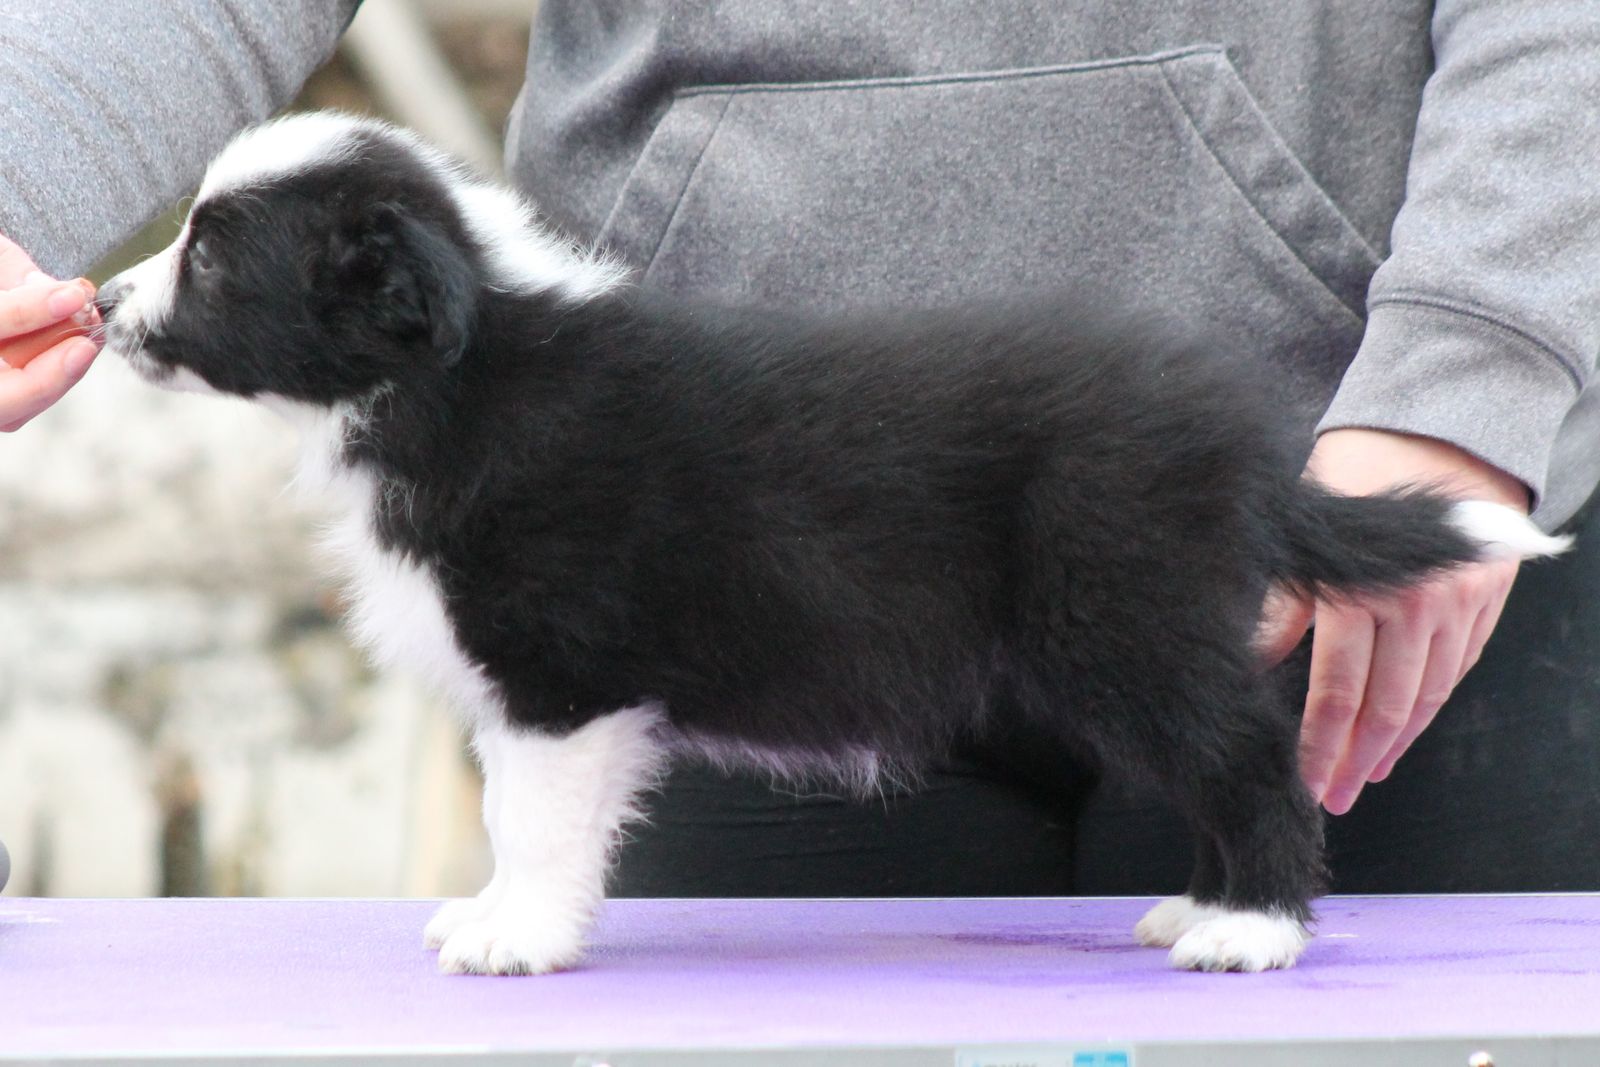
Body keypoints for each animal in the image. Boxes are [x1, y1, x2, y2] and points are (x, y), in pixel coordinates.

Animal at [96, 112, 1568, 975]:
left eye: (212, 257)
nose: (104, 301)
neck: (449, 372)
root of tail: (1245, 445)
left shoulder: (559, 671)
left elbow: (536, 814)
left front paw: (519, 933)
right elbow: (516, 812)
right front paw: (499, 913)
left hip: (1120, 619)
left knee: (1251, 759)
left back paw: (1250, 929)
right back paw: (1196, 908)